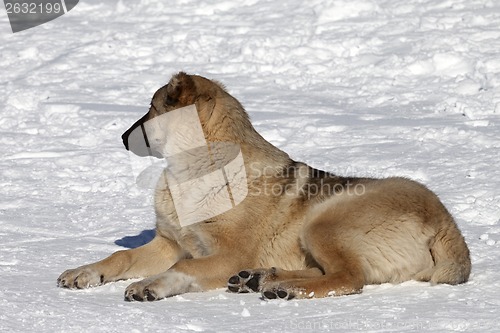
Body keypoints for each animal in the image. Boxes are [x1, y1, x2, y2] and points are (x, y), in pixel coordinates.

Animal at [56, 71, 470, 300]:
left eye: (153, 109)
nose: (123, 137)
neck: (201, 168)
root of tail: (447, 224)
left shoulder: (226, 254)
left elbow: (183, 268)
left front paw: (153, 284)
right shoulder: (169, 243)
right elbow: (120, 256)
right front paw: (85, 271)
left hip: (323, 221)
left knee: (349, 278)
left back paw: (284, 287)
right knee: (330, 272)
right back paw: (261, 279)